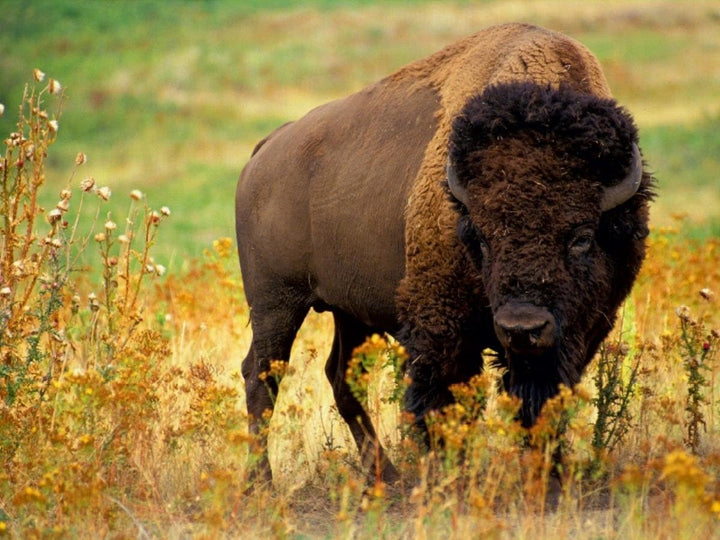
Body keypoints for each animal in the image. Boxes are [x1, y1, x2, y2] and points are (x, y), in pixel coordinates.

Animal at [235, 23, 654, 483]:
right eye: (483, 237)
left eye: (581, 236)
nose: (521, 327)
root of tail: (266, 149)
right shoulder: (441, 327)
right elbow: (441, 401)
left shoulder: (577, 333)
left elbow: (541, 400)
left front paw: (549, 474)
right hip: (276, 302)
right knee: (262, 375)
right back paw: (261, 482)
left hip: (348, 310)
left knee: (340, 375)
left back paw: (386, 476)